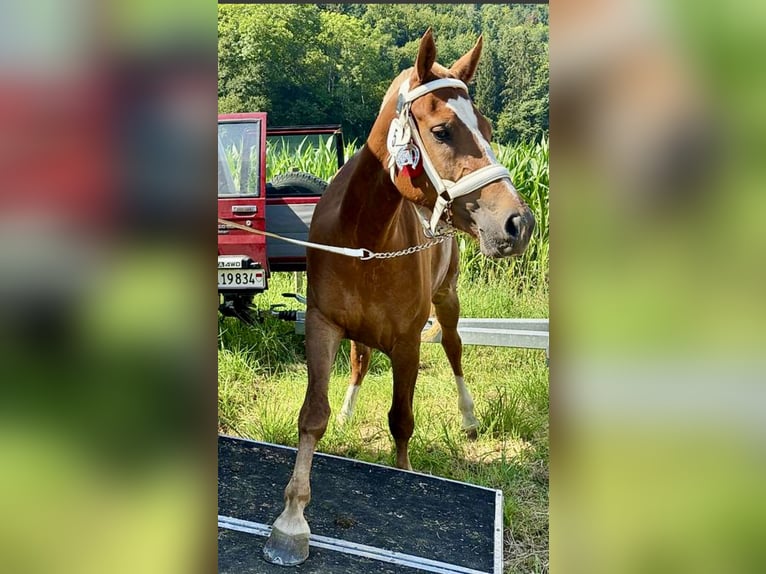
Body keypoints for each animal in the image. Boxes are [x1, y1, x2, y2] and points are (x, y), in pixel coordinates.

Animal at [264, 28, 536, 568]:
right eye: (443, 130)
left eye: (488, 128)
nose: (518, 223)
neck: (365, 234)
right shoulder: (323, 324)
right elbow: (313, 415)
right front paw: (291, 521)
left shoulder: (409, 342)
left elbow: (402, 421)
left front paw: (403, 477)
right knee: (360, 359)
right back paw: (351, 408)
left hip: (448, 302)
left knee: (453, 349)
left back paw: (469, 417)